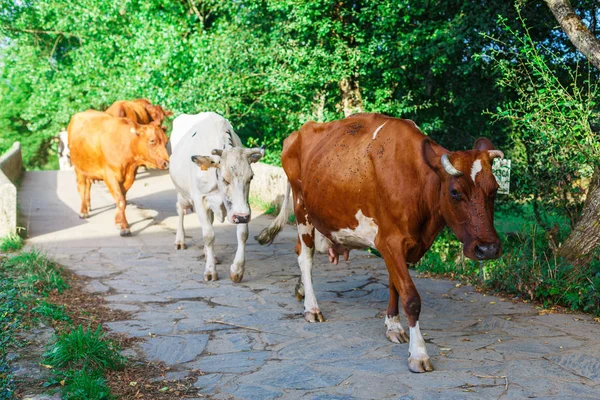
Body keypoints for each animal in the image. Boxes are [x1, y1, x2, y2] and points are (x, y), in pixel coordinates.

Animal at [168, 111, 264, 282]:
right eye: (225, 178)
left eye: (251, 177)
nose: (241, 217)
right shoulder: (199, 199)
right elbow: (208, 235)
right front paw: (210, 271)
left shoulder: (242, 206)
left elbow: (242, 234)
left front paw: (237, 270)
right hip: (182, 193)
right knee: (180, 209)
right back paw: (180, 241)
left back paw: (208, 254)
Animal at [255, 111, 504, 372]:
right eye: (455, 191)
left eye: (495, 189)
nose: (488, 248)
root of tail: (298, 133)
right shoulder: (390, 241)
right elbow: (410, 297)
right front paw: (419, 353)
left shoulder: (401, 244)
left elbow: (395, 285)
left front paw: (393, 325)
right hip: (302, 208)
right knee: (306, 256)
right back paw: (312, 307)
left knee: (302, 250)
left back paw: (301, 289)